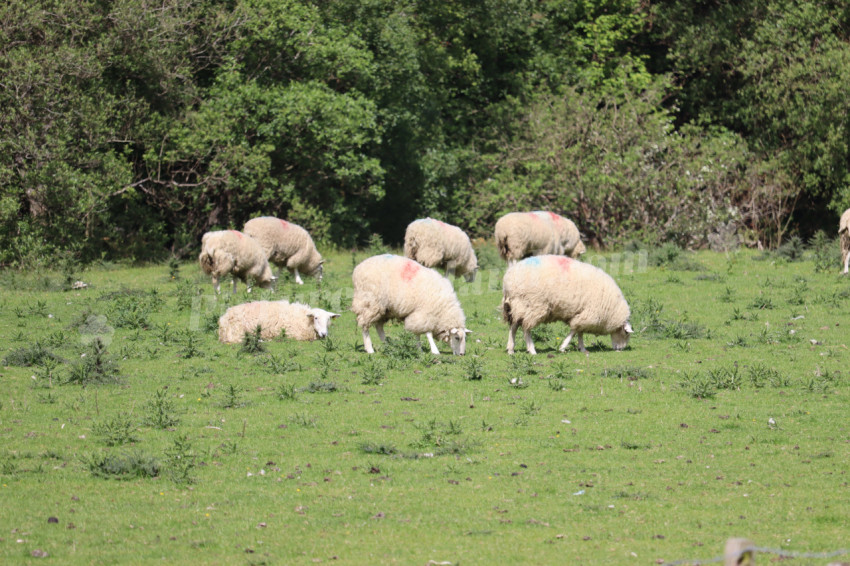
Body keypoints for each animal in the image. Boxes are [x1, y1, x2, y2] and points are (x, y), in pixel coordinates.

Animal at [501, 255, 632, 355]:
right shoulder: (588, 314)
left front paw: (582, 348)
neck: (612, 309)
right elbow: (574, 331)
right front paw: (563, 347)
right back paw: (532, 349)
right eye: (626, 333)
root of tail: (508, 279)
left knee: (514, 326)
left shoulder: (582, 314)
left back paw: (511, 349)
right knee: (526, 328)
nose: (620, 349)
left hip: (518, 306)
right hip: (533, 305)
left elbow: (580, 332)